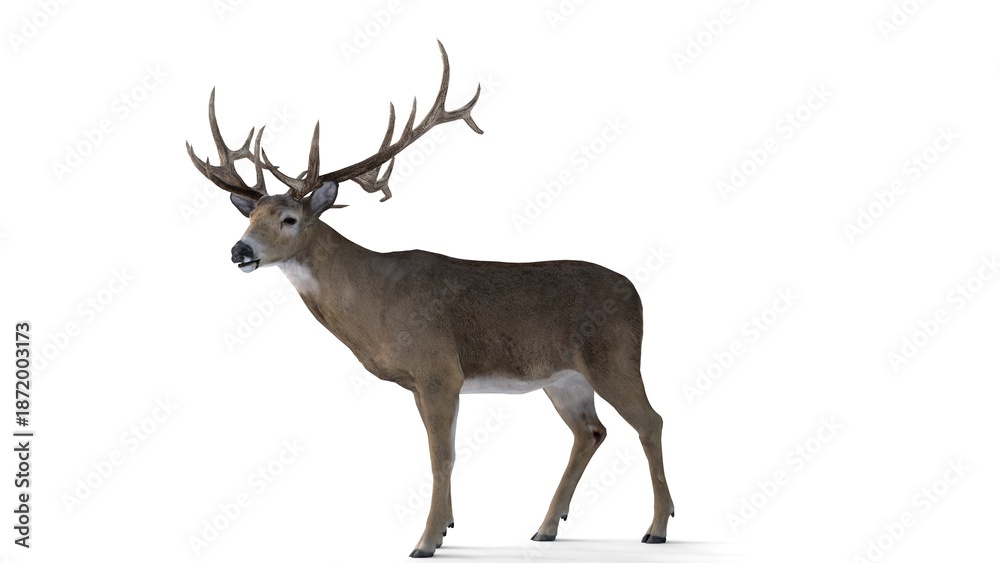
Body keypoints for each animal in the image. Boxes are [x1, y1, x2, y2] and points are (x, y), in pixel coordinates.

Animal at [186, 42, 674, 558]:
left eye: (289, 218)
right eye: (250, 215)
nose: (239, 251)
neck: (375, 302)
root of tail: (637, 292)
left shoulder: (439, 369)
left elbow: (441, 455)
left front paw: (425, 540)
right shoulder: (423, 383)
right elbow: (446, 451)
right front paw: (446, 527)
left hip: (615, 356)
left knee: (651, 421)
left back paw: (656, 527)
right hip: (563, 378)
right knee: (591, 431)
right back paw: (546, 526)